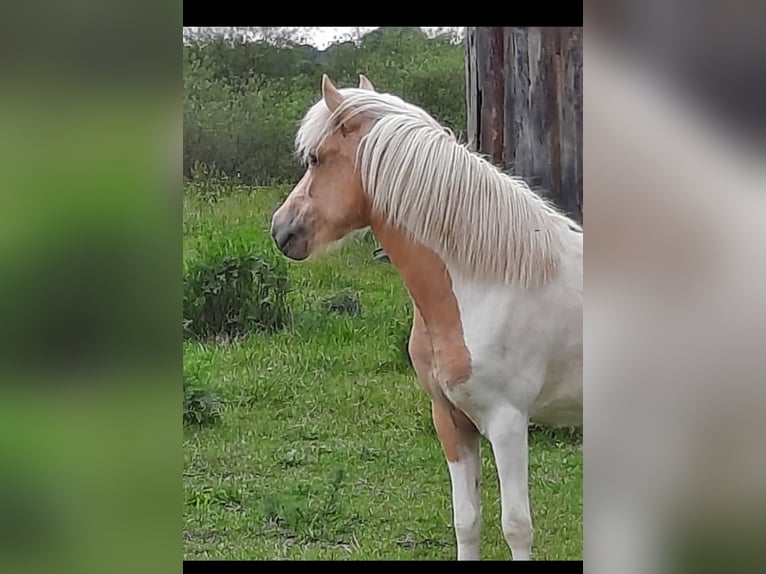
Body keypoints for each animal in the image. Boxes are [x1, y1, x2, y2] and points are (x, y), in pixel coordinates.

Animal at [270, 73, 584, 564]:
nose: (281, 230)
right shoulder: (451, 420)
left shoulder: (509, 422)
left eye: (316, 158)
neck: (486, 283)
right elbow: (467, 521)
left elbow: (516, 526)